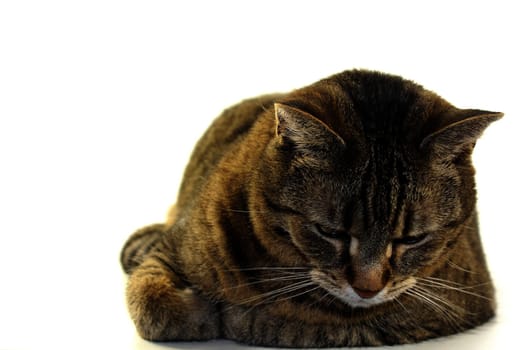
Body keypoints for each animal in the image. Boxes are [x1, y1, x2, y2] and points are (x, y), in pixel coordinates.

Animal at [121, 69, 502, 346]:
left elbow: (320, 326)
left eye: (412, 239)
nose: (368, 288)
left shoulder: (453, 301)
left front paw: (238, 316)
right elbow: (152, 301)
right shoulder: (176, 248)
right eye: (329, 232)